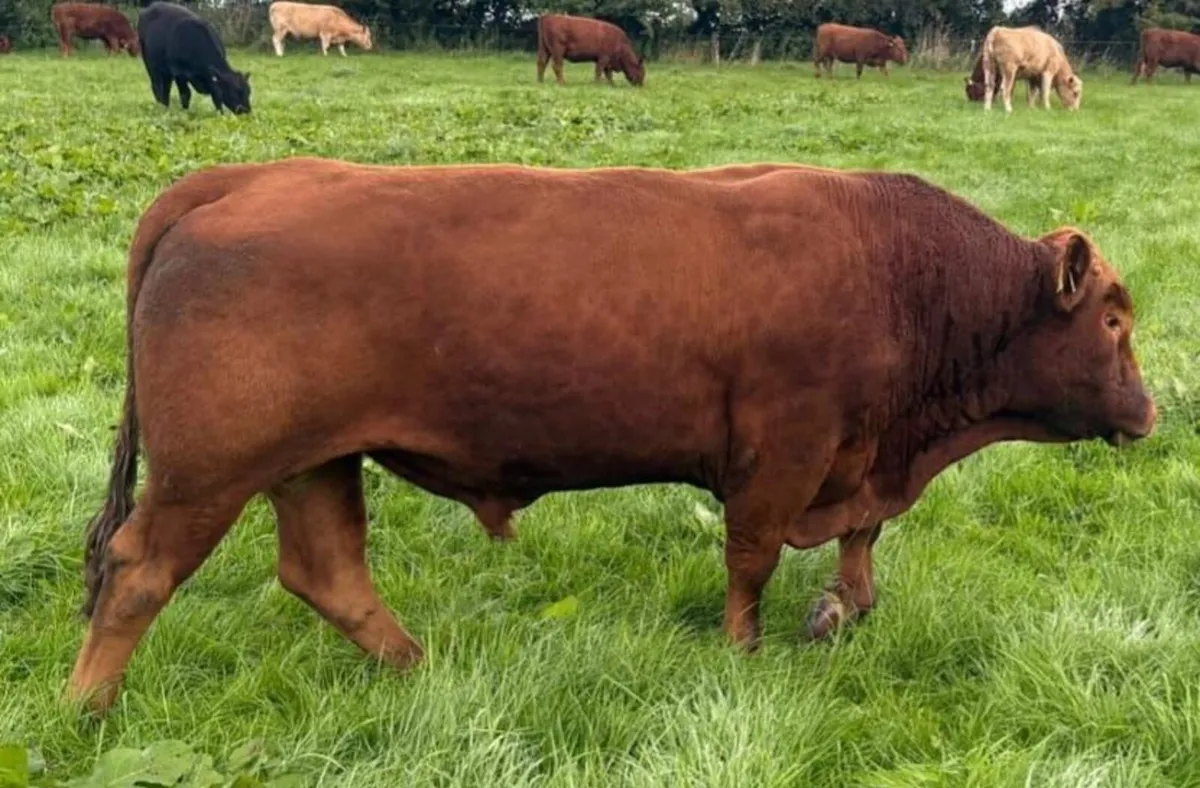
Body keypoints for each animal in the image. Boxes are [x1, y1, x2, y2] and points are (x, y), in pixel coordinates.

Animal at [66, 158, 1156, 714]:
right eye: (1112, 319)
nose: (1149, 410)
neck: (895, 268)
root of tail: (242, 177)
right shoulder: (783, 451)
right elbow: (754, 558)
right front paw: (745, 653)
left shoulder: (854, 462)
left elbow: (860, 542)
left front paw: (842, 609)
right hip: (210, 473)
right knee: (140, 571)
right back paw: (85, 709)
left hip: (313, 463)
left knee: (325, 571)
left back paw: (425, 669)